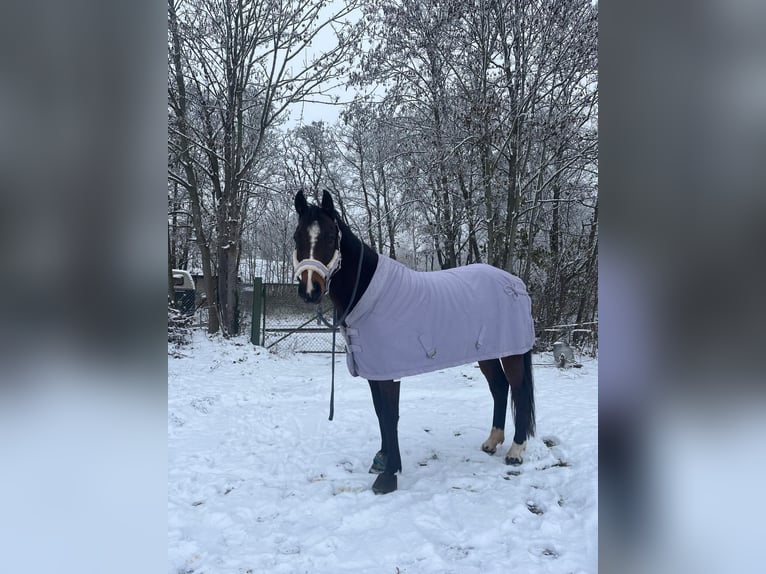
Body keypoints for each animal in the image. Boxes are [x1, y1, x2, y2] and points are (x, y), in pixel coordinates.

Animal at [294, 191, 540, 498]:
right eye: (297, 237)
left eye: (329, 237)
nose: (310, 290)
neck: (368, 294)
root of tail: (515, 283)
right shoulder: (375, 371)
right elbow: (380, 414)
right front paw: (384, 460)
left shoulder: (389, 374)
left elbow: (390, 416)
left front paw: (388, 476)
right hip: (488, 354)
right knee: (500, 388)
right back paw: (492, 442)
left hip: (513, 353)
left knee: (518, 391)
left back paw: (515, 451)